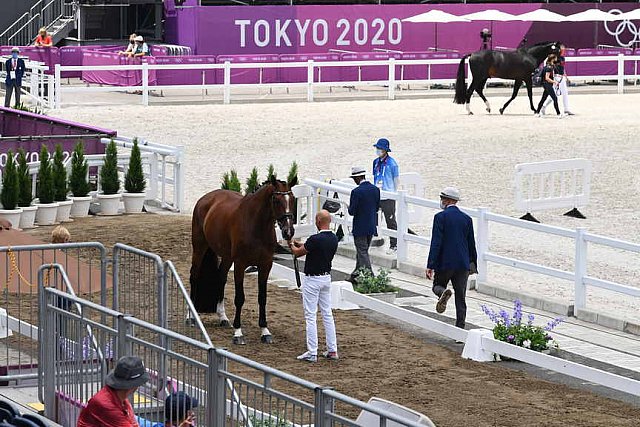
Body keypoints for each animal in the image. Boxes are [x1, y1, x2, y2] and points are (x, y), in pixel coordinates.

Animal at [188, 174, 298, 344]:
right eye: (276, 200)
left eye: (292, 199)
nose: (288, 232)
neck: (256, 226)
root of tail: (206, 198)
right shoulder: (240, 264)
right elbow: (239, 298)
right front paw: (238, 332)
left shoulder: (265, 265)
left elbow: (262, 298)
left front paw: (265, 331)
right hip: (200, 247)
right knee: (194, 276)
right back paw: (191, 317)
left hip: (227, 257)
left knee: (221, 278)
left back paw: (223, 317)